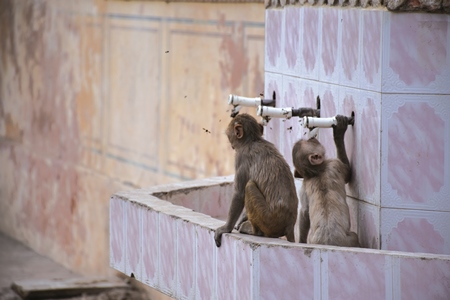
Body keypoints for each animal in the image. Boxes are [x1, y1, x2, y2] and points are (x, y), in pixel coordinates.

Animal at [214, 113, 298, 247]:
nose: (231, 145)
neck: (252, 140)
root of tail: (290, 225)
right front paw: (241, 218)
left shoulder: (240, 157)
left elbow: (239, 194)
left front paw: (226, 228)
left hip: (268, 219)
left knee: (249, 186)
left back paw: (254, 231)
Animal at [292, 114, 362, 246]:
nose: (312, 137)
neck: (316, 172)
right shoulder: (334, 164)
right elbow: (349, 173)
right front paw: (339, 133)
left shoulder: (303, 186)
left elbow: (304, 211)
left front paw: (301, 241)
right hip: (347, 240)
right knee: (354, 236)